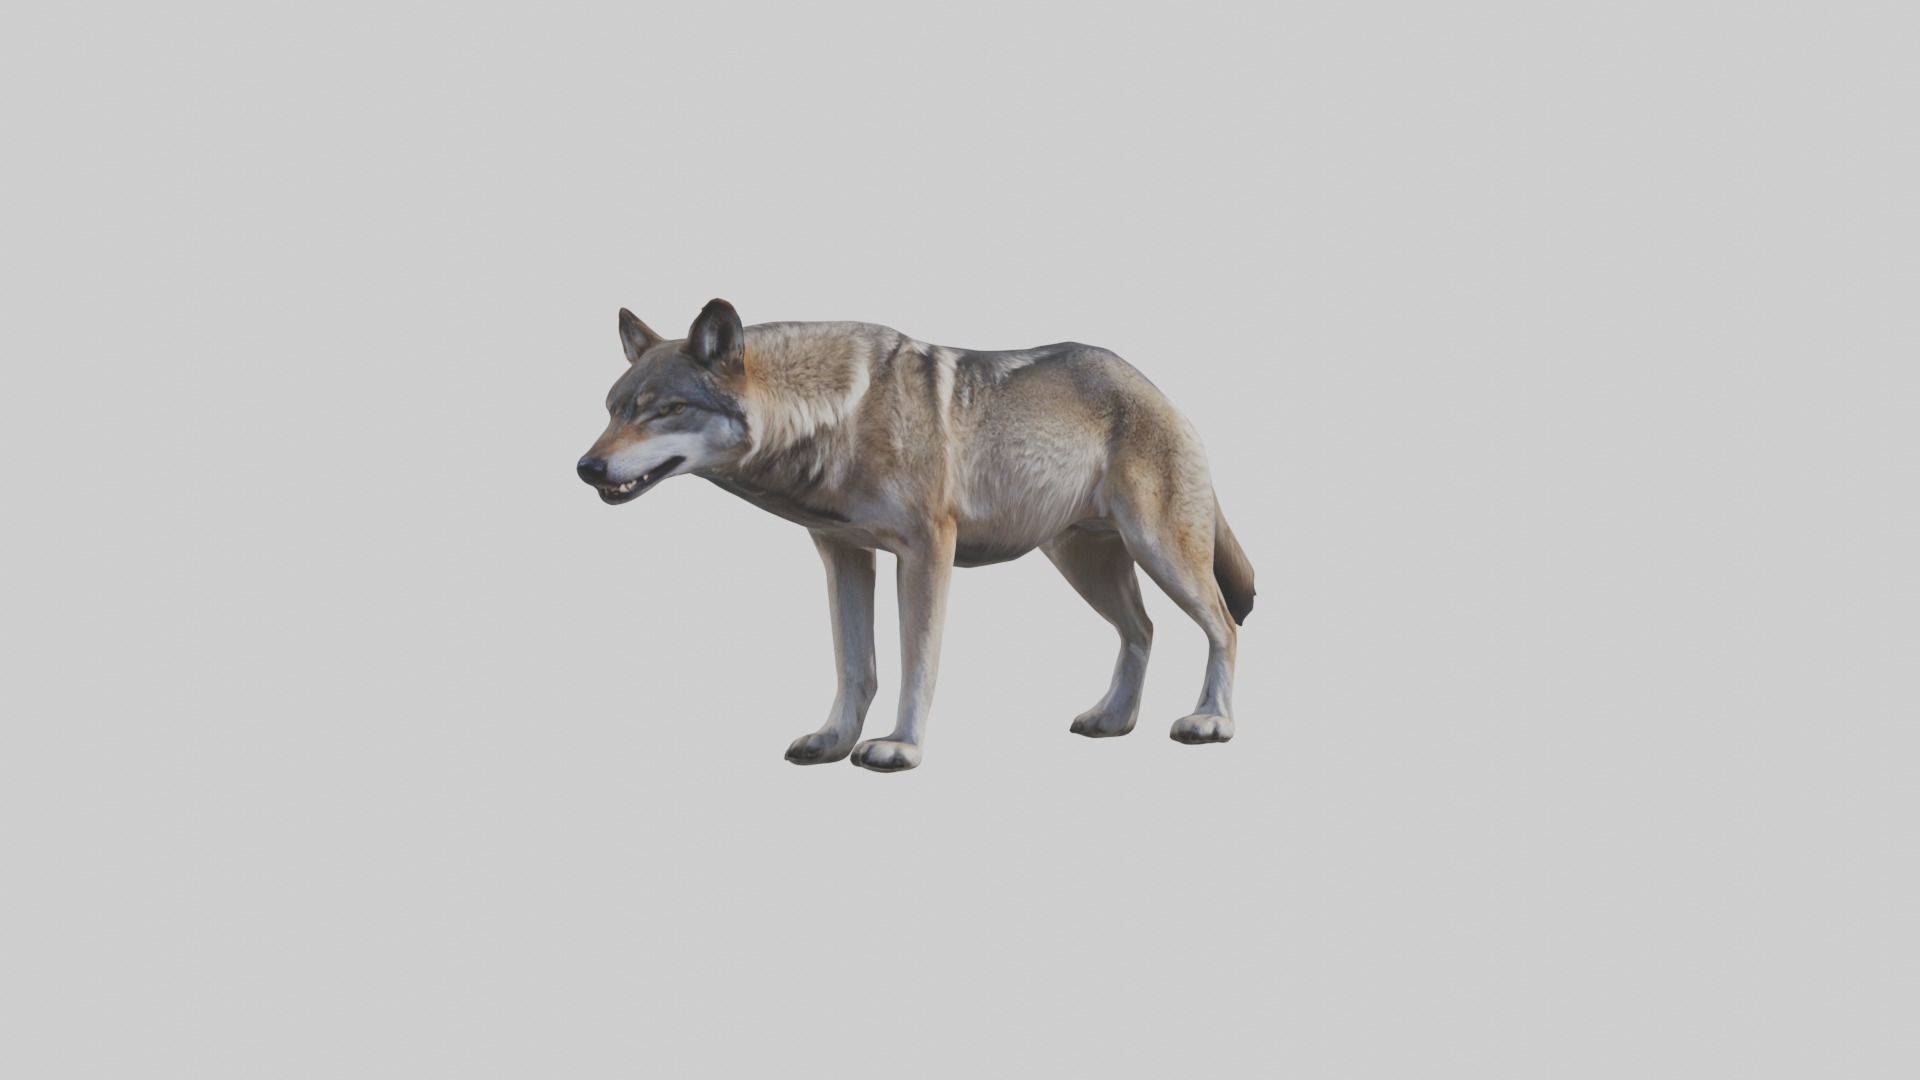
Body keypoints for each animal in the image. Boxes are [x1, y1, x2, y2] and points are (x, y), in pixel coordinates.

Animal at [577, 299, 1255, 772]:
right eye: (612, 410)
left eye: (666, 410)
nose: (586, 468)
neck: (840, 413)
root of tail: (1156, 389)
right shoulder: (843, 554)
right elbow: (856, 665)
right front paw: (833, 741)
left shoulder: (928, 553)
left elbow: (915, 663)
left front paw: (900, 748)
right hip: (1083, 562)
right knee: (1142, 630)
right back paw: (1114, 721)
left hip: (1160, 554)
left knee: (1224, 625)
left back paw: (1211, 722)